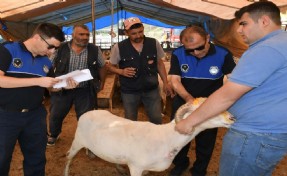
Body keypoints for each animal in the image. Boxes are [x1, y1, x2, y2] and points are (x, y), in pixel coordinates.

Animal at [64, 97, 235, 176]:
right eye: (206, 110)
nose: (232, 118)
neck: (167, 137)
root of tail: (88, 112)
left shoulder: (145, 169)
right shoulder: (136, 167)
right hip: (77, 141)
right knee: (68, 157)